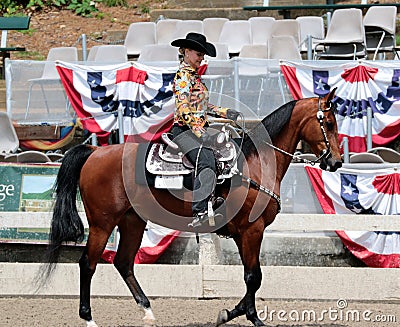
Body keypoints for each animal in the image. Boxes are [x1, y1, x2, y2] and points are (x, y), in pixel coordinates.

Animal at [39, 88, 340, 326]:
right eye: (330, 123)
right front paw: (250, 317)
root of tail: (95, 152)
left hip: (132, 221)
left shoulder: (244, 233)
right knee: (88, 263)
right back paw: (89, 318)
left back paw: (147, 310)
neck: (255, 163)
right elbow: (254, 276)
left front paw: (233, 312)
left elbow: (251, 276)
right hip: (102, 223)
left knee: (123, 262)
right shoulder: (252, 230)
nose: (335, 161)